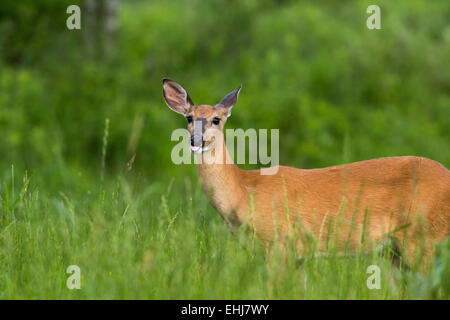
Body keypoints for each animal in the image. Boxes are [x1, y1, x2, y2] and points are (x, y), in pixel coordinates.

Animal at [163, 78, 450, 268]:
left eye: (216, 119)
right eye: (189, 118)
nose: (196, 140)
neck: (243, 190)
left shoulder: (279, 243)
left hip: (424, 238)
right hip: (395, 252)